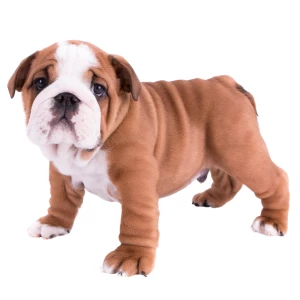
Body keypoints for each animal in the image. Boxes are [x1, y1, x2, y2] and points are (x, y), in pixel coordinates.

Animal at [6, 39, 288, 276]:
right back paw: (212, 198)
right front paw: (54, 224)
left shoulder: (135, 178)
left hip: (241, 152)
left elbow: (136, 219)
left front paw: (130, 256)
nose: (66, 96)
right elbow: (61, 199)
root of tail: (226, 82)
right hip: (218, 152)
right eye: (40, 82)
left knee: (276, 179)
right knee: (228, 180)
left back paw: (271, 222)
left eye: (98, 89)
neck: (82, 150)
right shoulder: (62, 172)